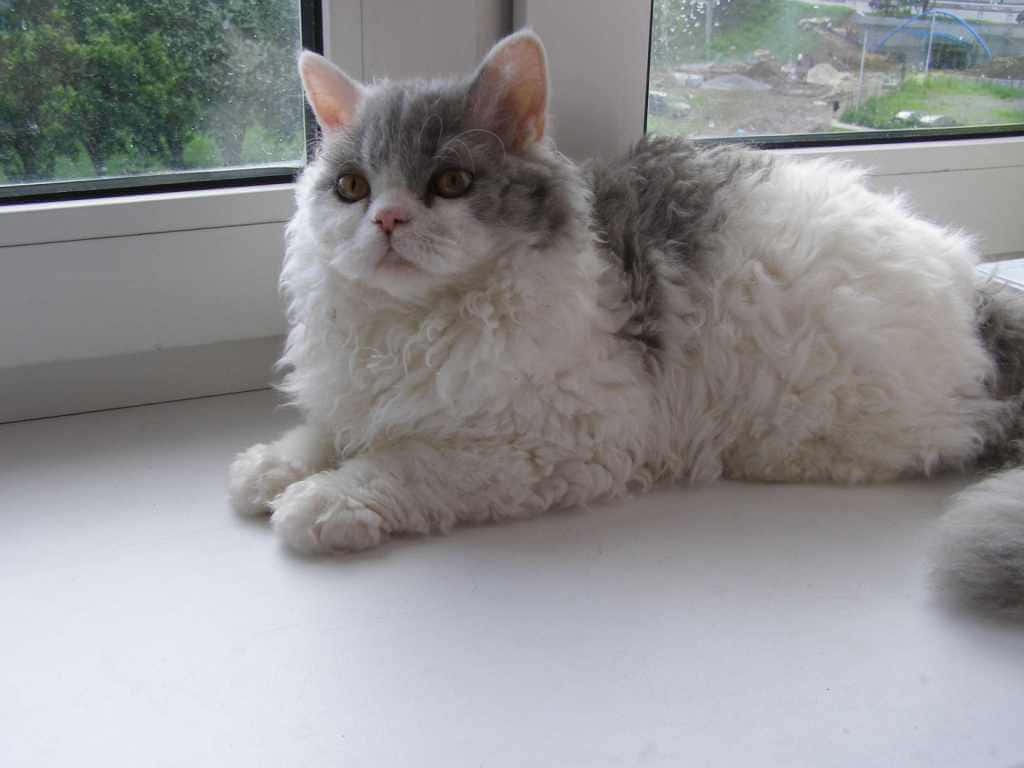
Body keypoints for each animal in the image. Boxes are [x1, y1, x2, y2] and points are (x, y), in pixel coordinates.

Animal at [228, 30, 1024, 614]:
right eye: (351, 187)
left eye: (450, 183)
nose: (388, 220)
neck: (412, 324)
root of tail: (969, 281)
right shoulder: (360, 391)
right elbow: (326, 430)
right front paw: (269, 468)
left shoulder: (544, 445)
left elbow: (399, 464)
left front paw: (321, 501)